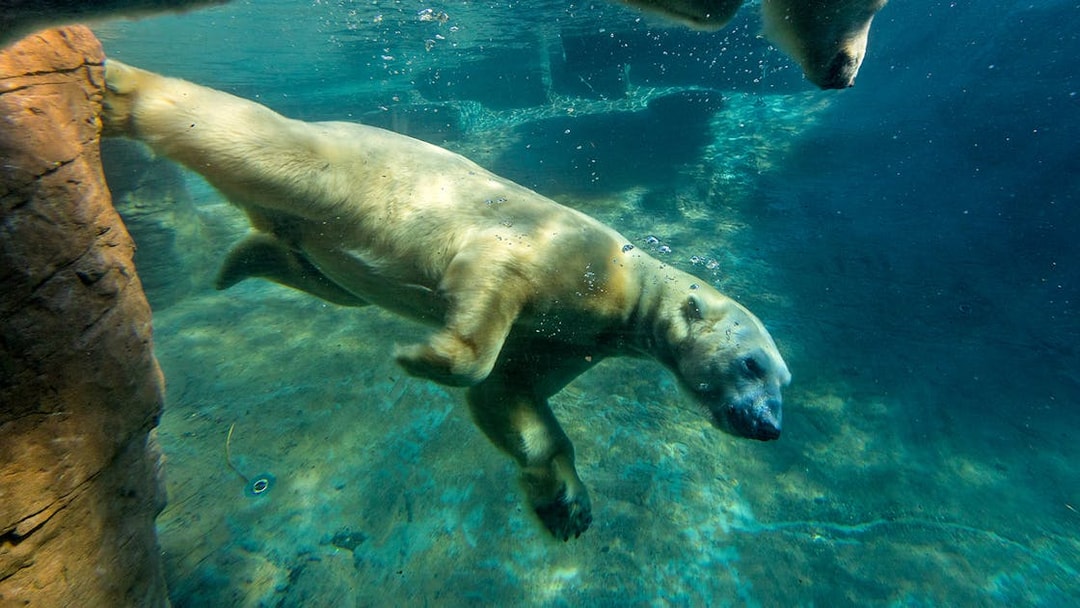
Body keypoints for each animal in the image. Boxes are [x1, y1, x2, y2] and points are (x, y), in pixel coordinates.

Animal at [101, 60, 791, 540]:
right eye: (752, 363)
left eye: (783, 379)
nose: (770, 426)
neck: (626, 285)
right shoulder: (555, 254)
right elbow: (487, 297)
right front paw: (424, 357)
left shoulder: (572, 340)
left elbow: (511, 397)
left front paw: (567, 506)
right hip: (339, 166)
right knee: (256, 143)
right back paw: (117, 87)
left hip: (321, 250)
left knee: (319, 273)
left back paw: (238, 262)